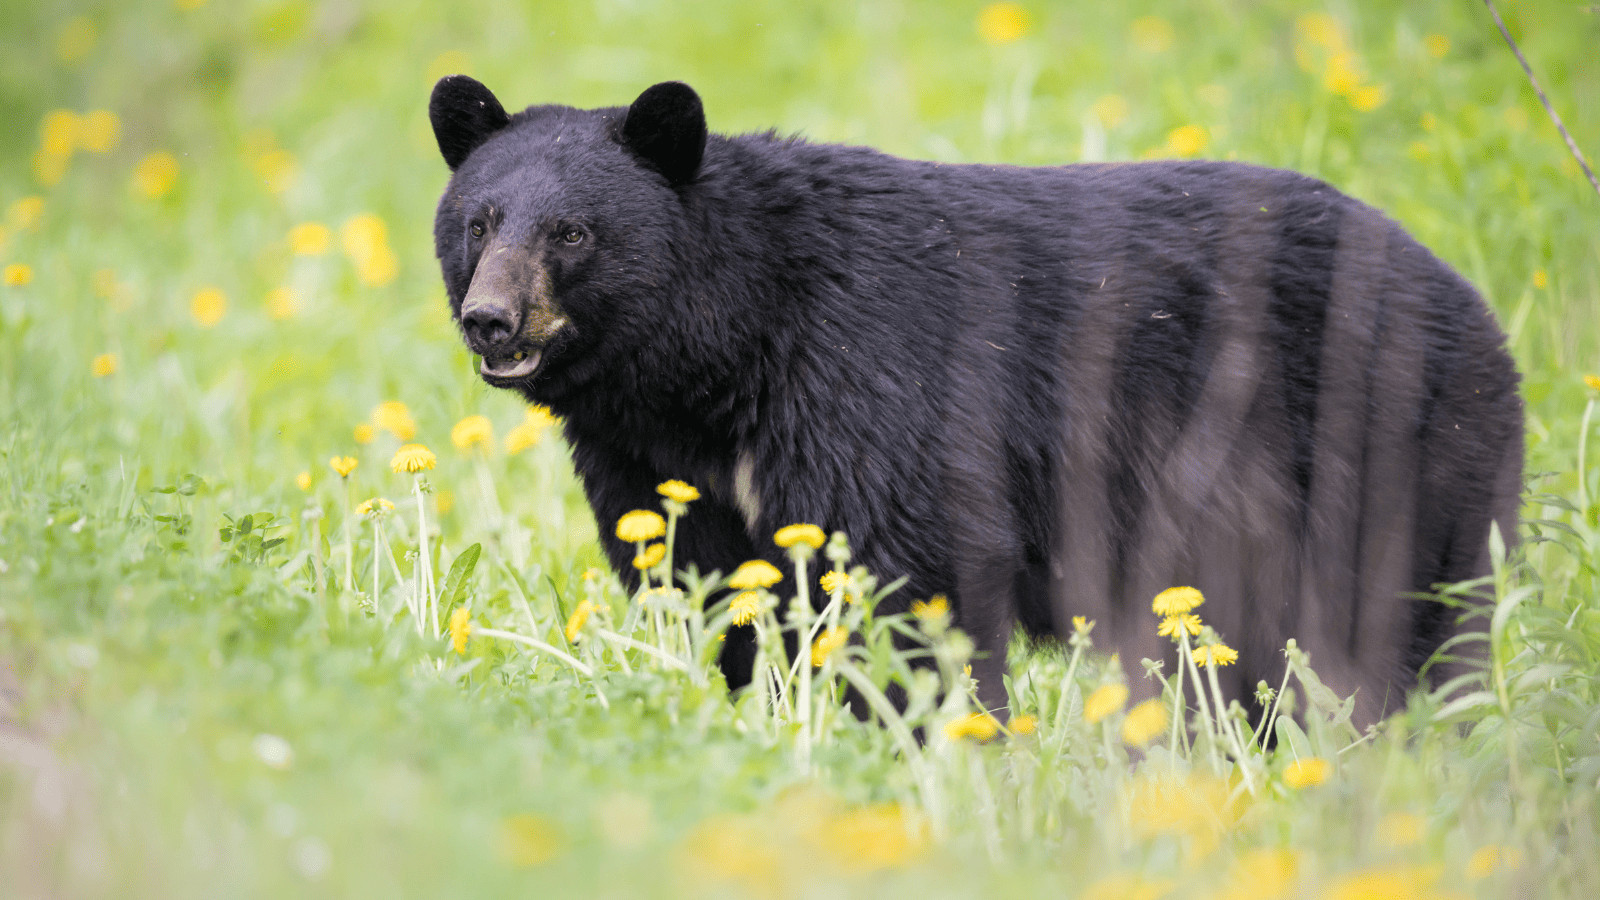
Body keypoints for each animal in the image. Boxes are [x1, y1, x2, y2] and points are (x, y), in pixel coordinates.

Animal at [428, 77, 1523, 727]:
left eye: (572, 233)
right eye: (479, 221)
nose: (490, 319)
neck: (718, 359)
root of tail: (1474, 302)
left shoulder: (868, 377)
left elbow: (908, 569)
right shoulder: (657, 465)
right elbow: (714, 586)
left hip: (1388, 450)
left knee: (1395, 625)